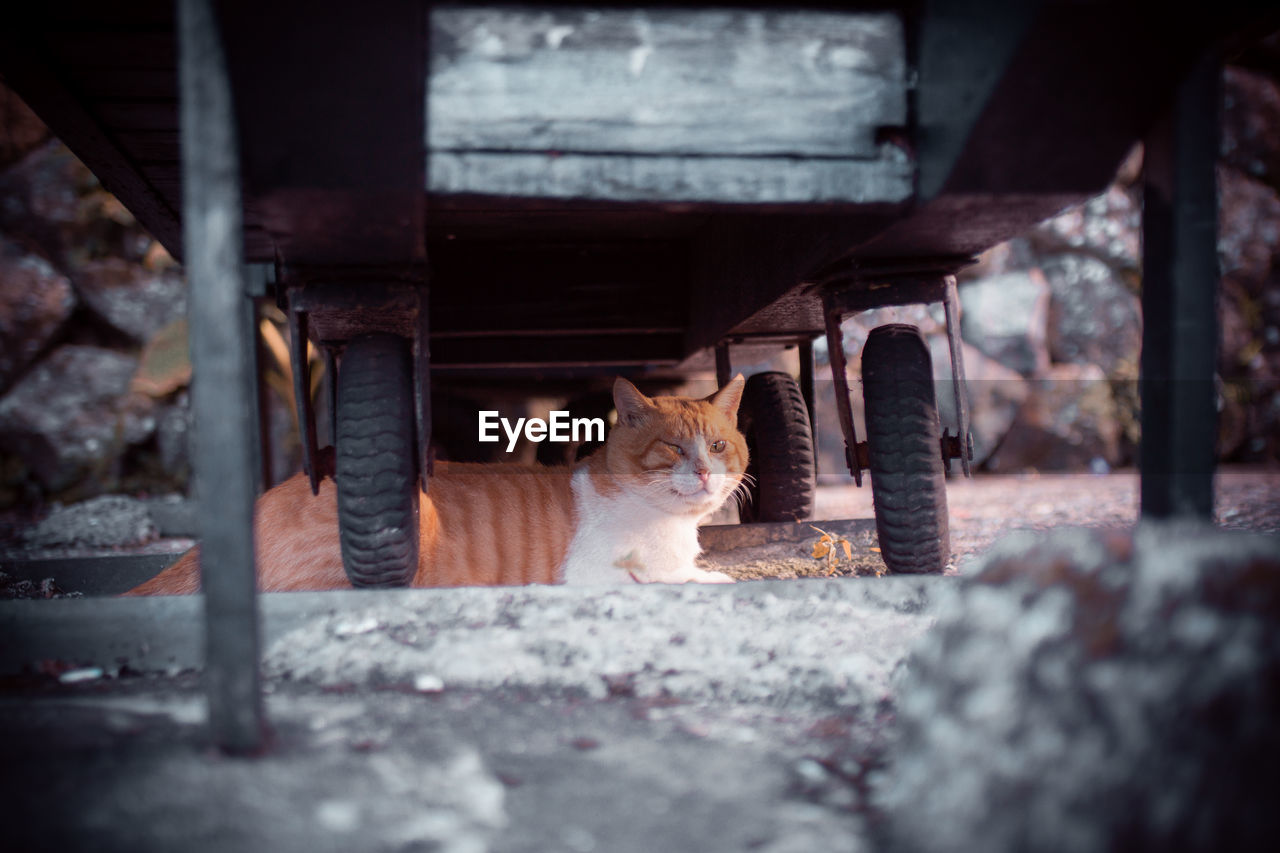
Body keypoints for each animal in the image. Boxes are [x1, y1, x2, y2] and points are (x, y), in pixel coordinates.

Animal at [124, 376, 747, 594]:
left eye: (718, 447)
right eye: (673, 448)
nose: (703, 470)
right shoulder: (594, 573)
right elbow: (674, 576)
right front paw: (707, 577)